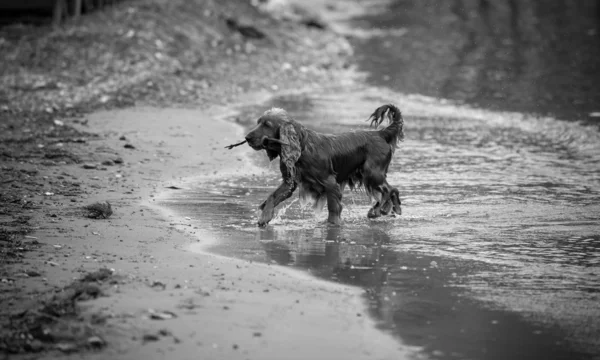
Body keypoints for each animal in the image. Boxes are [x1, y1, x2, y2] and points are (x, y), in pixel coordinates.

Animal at [230, 102, 404, 226]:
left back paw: (380, 210)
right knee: (391, 191)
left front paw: (333, 226)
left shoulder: (331, 183)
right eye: (258, 122)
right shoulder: (289, 182)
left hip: (372, 173)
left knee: (391, 189)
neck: (302, 148)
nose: (247, 138)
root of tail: (380, 133)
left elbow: (333, 209)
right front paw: (265, 216)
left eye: (267, 125)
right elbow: (272, 196)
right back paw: (390, 209)